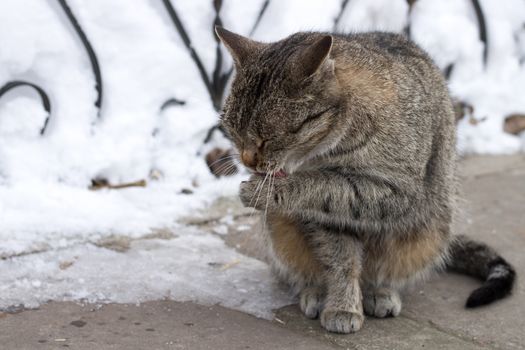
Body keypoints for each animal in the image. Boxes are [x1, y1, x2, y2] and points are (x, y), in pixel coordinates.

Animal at [215, 26, 512, 334]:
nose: (247, 160)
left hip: (430, 231)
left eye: (266, 139)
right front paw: (342, 304)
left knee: (385, 270)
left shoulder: (402, 193)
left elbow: (321, 186)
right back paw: (317, 292)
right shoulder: (327, 220)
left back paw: (379, 292)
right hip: (281, 232)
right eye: (232, 132)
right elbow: (340, 261)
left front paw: (273, 189)